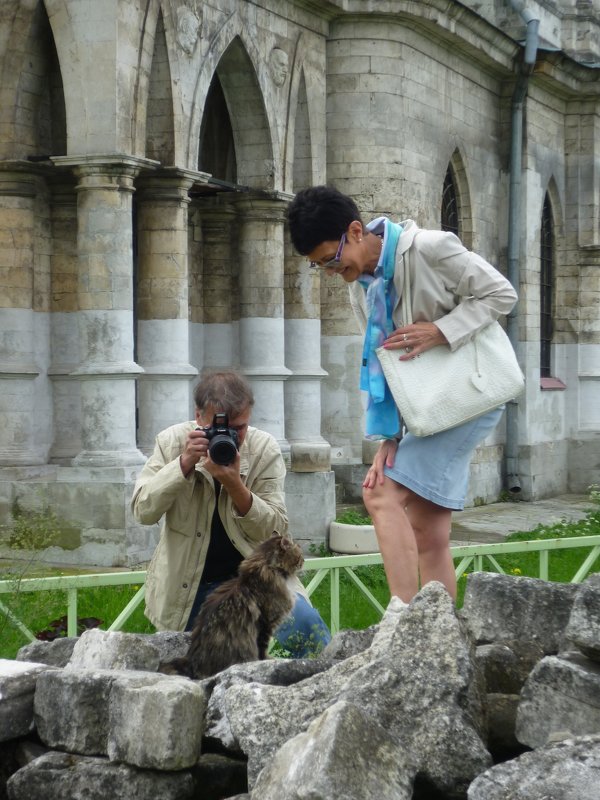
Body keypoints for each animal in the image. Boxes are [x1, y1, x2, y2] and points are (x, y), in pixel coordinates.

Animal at [161, 536, 304, 680]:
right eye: (299, 553)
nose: (303, 561)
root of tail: (191, 661)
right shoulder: (266, 624)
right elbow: (262, 650)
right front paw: (265, 661)